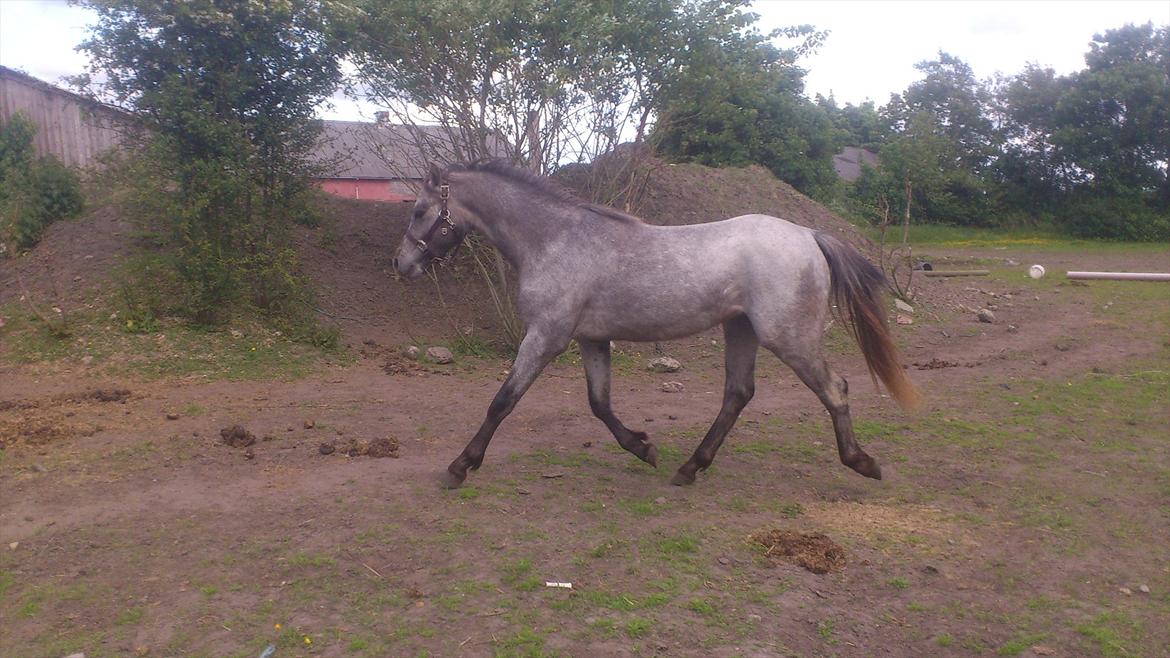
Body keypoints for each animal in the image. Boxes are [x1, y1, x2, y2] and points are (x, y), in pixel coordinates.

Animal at [393, 160, 919, 489]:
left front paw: (460, 466)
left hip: (788, 337)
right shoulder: (591, 339)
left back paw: (862, 462)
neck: (555, 239)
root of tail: (809, 234)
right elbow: (600, 405)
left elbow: (503, 401)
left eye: (419, 210)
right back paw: (689, 468)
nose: (401, 264)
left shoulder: (545, 336)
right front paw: (643, 448)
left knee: (835, 388)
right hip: (741, 329)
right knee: (738, 394)